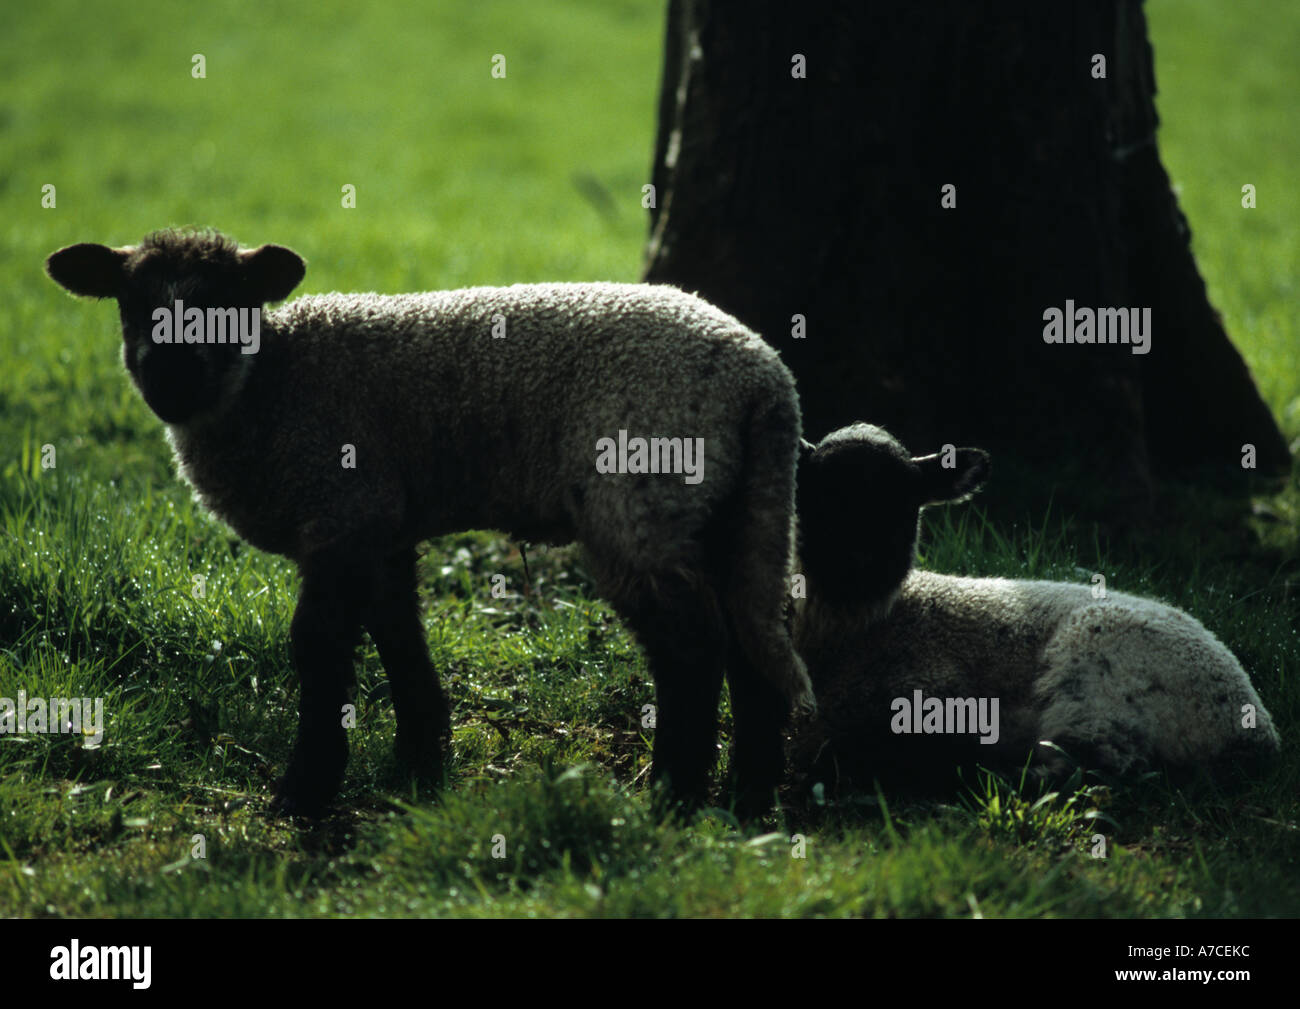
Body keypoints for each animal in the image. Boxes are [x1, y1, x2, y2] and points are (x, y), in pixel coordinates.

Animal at [48, 228, 811, 811]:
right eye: (132, 302)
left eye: (227, 303)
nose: (168, 376)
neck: (270, 385)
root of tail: (765, 381)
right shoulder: (381, 528)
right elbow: (397, 636)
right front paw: (419, 763)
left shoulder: (342, 511)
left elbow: (317, 647)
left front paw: (306, 788)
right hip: (732, 510)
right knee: (751, 640)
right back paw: (748, 795)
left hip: (641, 500)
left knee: (692, 649)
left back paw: (673, 796)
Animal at [790, 421, 1279, 790]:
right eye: (819, 497)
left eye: (904, 506)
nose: (861, 567)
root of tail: (1256, 731)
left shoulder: (933, 690)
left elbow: (835, 751)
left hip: (1100, 680)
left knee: (1095, 766)